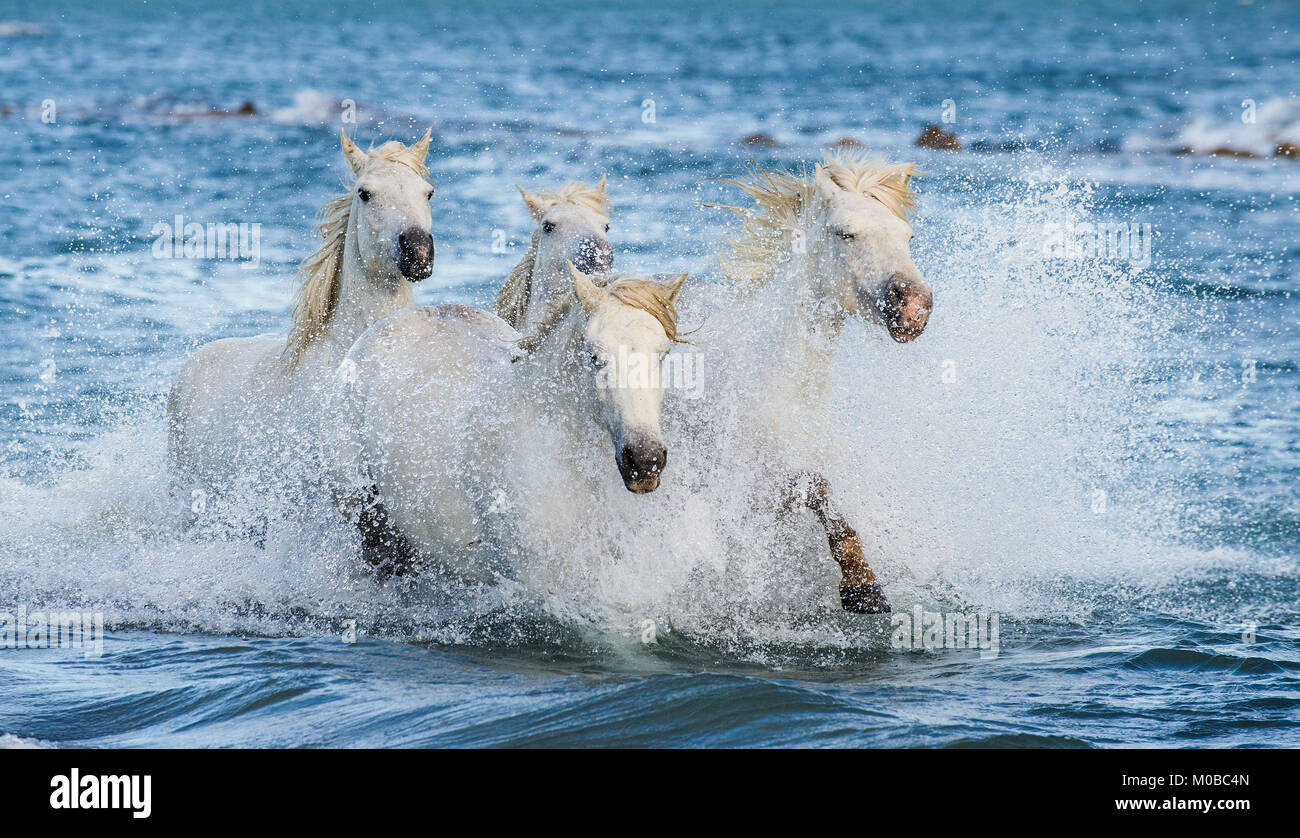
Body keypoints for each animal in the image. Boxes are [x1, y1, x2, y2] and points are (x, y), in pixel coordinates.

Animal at [697, 151, 934, 613]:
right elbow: (818, 493)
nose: (914, 306)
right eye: (846, 233)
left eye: (908, 236)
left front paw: (865, 589)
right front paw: (862, 587)